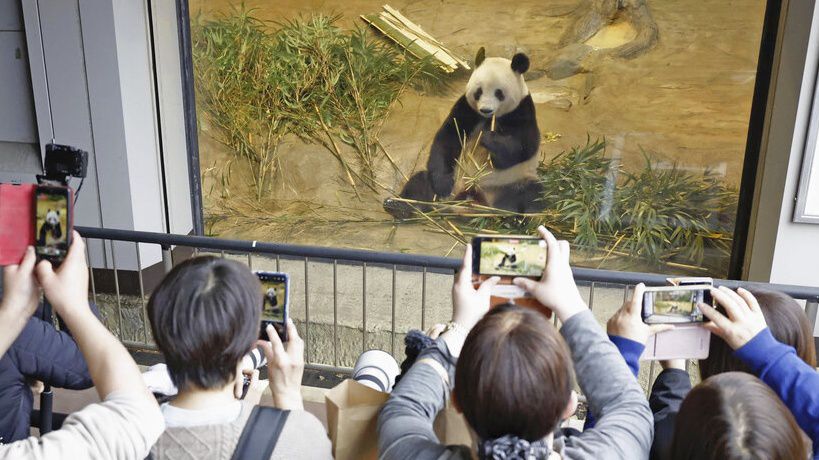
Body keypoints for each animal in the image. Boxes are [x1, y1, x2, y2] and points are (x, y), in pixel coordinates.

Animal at [384, 47, 544, 220]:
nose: (486, 110)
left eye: (499, 93)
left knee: (529, 193)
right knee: (421, 182)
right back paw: (399, 206)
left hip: (511, 181)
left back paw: (514, 218)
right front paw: (442, 185)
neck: (488, 118)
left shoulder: (522, 110)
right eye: (479, 92)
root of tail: (473, 199)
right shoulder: (466, 108)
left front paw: (489, 138)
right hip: (454, 182)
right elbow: (448, 138)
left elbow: (521, 149)